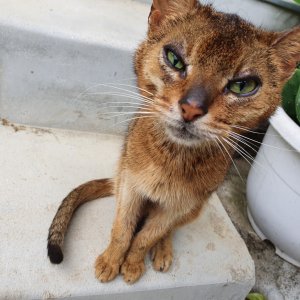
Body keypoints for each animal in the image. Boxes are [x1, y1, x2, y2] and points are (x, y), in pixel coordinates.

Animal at [47, 0, 300, 284]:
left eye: (243, 86)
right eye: (174, 59)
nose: (191, 109)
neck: (171, 161)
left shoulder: (178, 207)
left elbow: (147, 236)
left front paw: (133, 264)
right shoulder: (131, 188)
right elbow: (123, 230)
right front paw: (110, 262)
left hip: (195, 209)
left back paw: (163, 252)